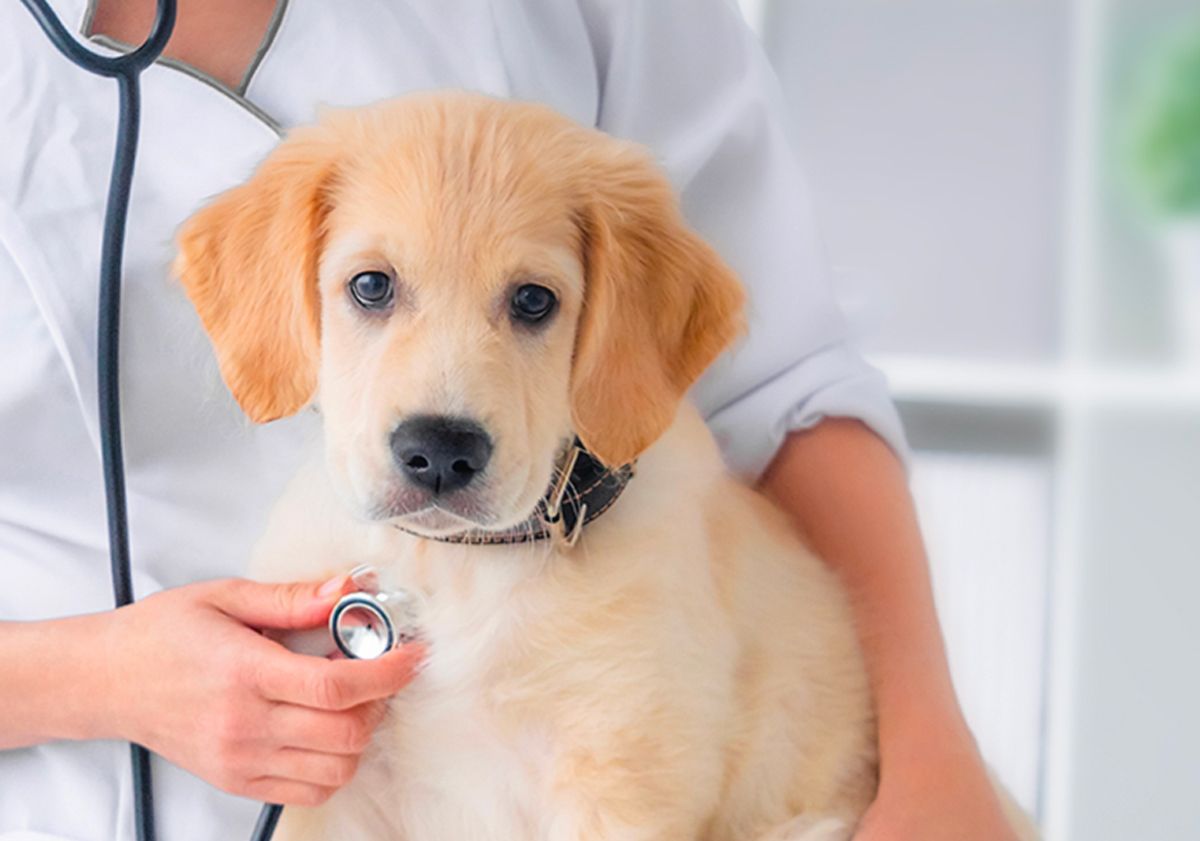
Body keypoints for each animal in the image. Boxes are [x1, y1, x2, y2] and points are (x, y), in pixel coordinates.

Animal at [174, 91, 979, 839]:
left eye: (534, 300)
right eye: (371, 285)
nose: (440, 452)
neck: (459, 569)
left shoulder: (622, 773)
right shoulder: (330, 779)